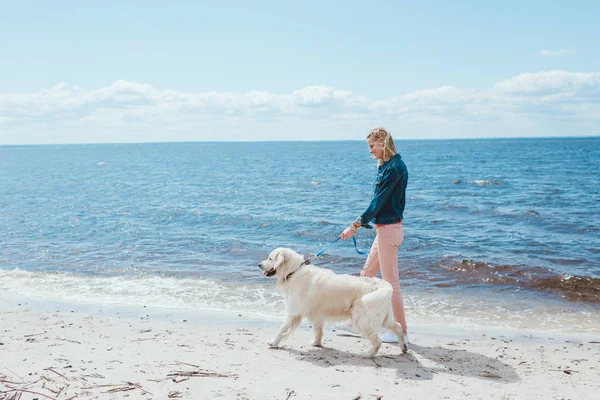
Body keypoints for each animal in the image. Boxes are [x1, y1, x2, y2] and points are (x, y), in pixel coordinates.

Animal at [258, 248, 408, 358]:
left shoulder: (294, 313)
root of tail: (381, 285)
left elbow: (282, 330)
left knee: (378, 341)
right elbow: (318, 331)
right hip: (384, 318)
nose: (259, 264)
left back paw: (367, 354)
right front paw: (316, 343)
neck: (293, 271)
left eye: (270, 258)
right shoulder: (316, 314)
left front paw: (273, 342)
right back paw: (403, 347)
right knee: (398, 327)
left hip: (362, 320)